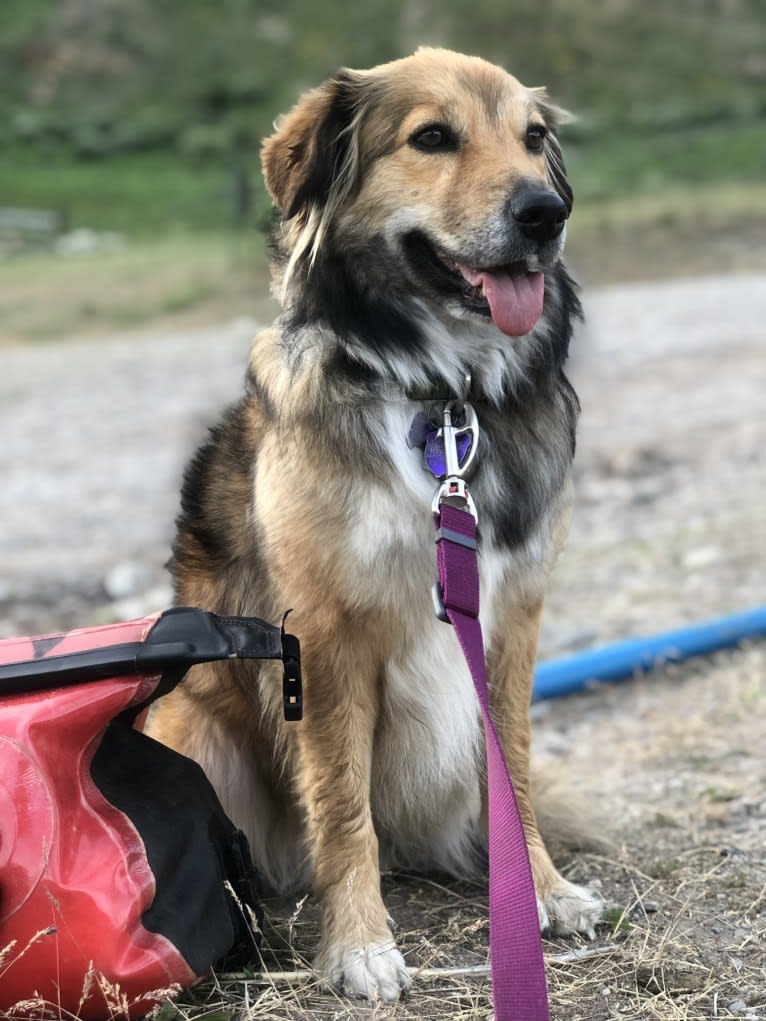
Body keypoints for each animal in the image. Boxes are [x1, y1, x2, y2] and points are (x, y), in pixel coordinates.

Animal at [147, 47, 604, 996]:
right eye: (432, 138)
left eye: (533, 139)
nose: (547, 214)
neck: (442, 394)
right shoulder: (326, 636)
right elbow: (341, 797)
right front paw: (359, 944)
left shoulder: (510, 619)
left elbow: (515, 769)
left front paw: (541, 889)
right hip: (196, 732)